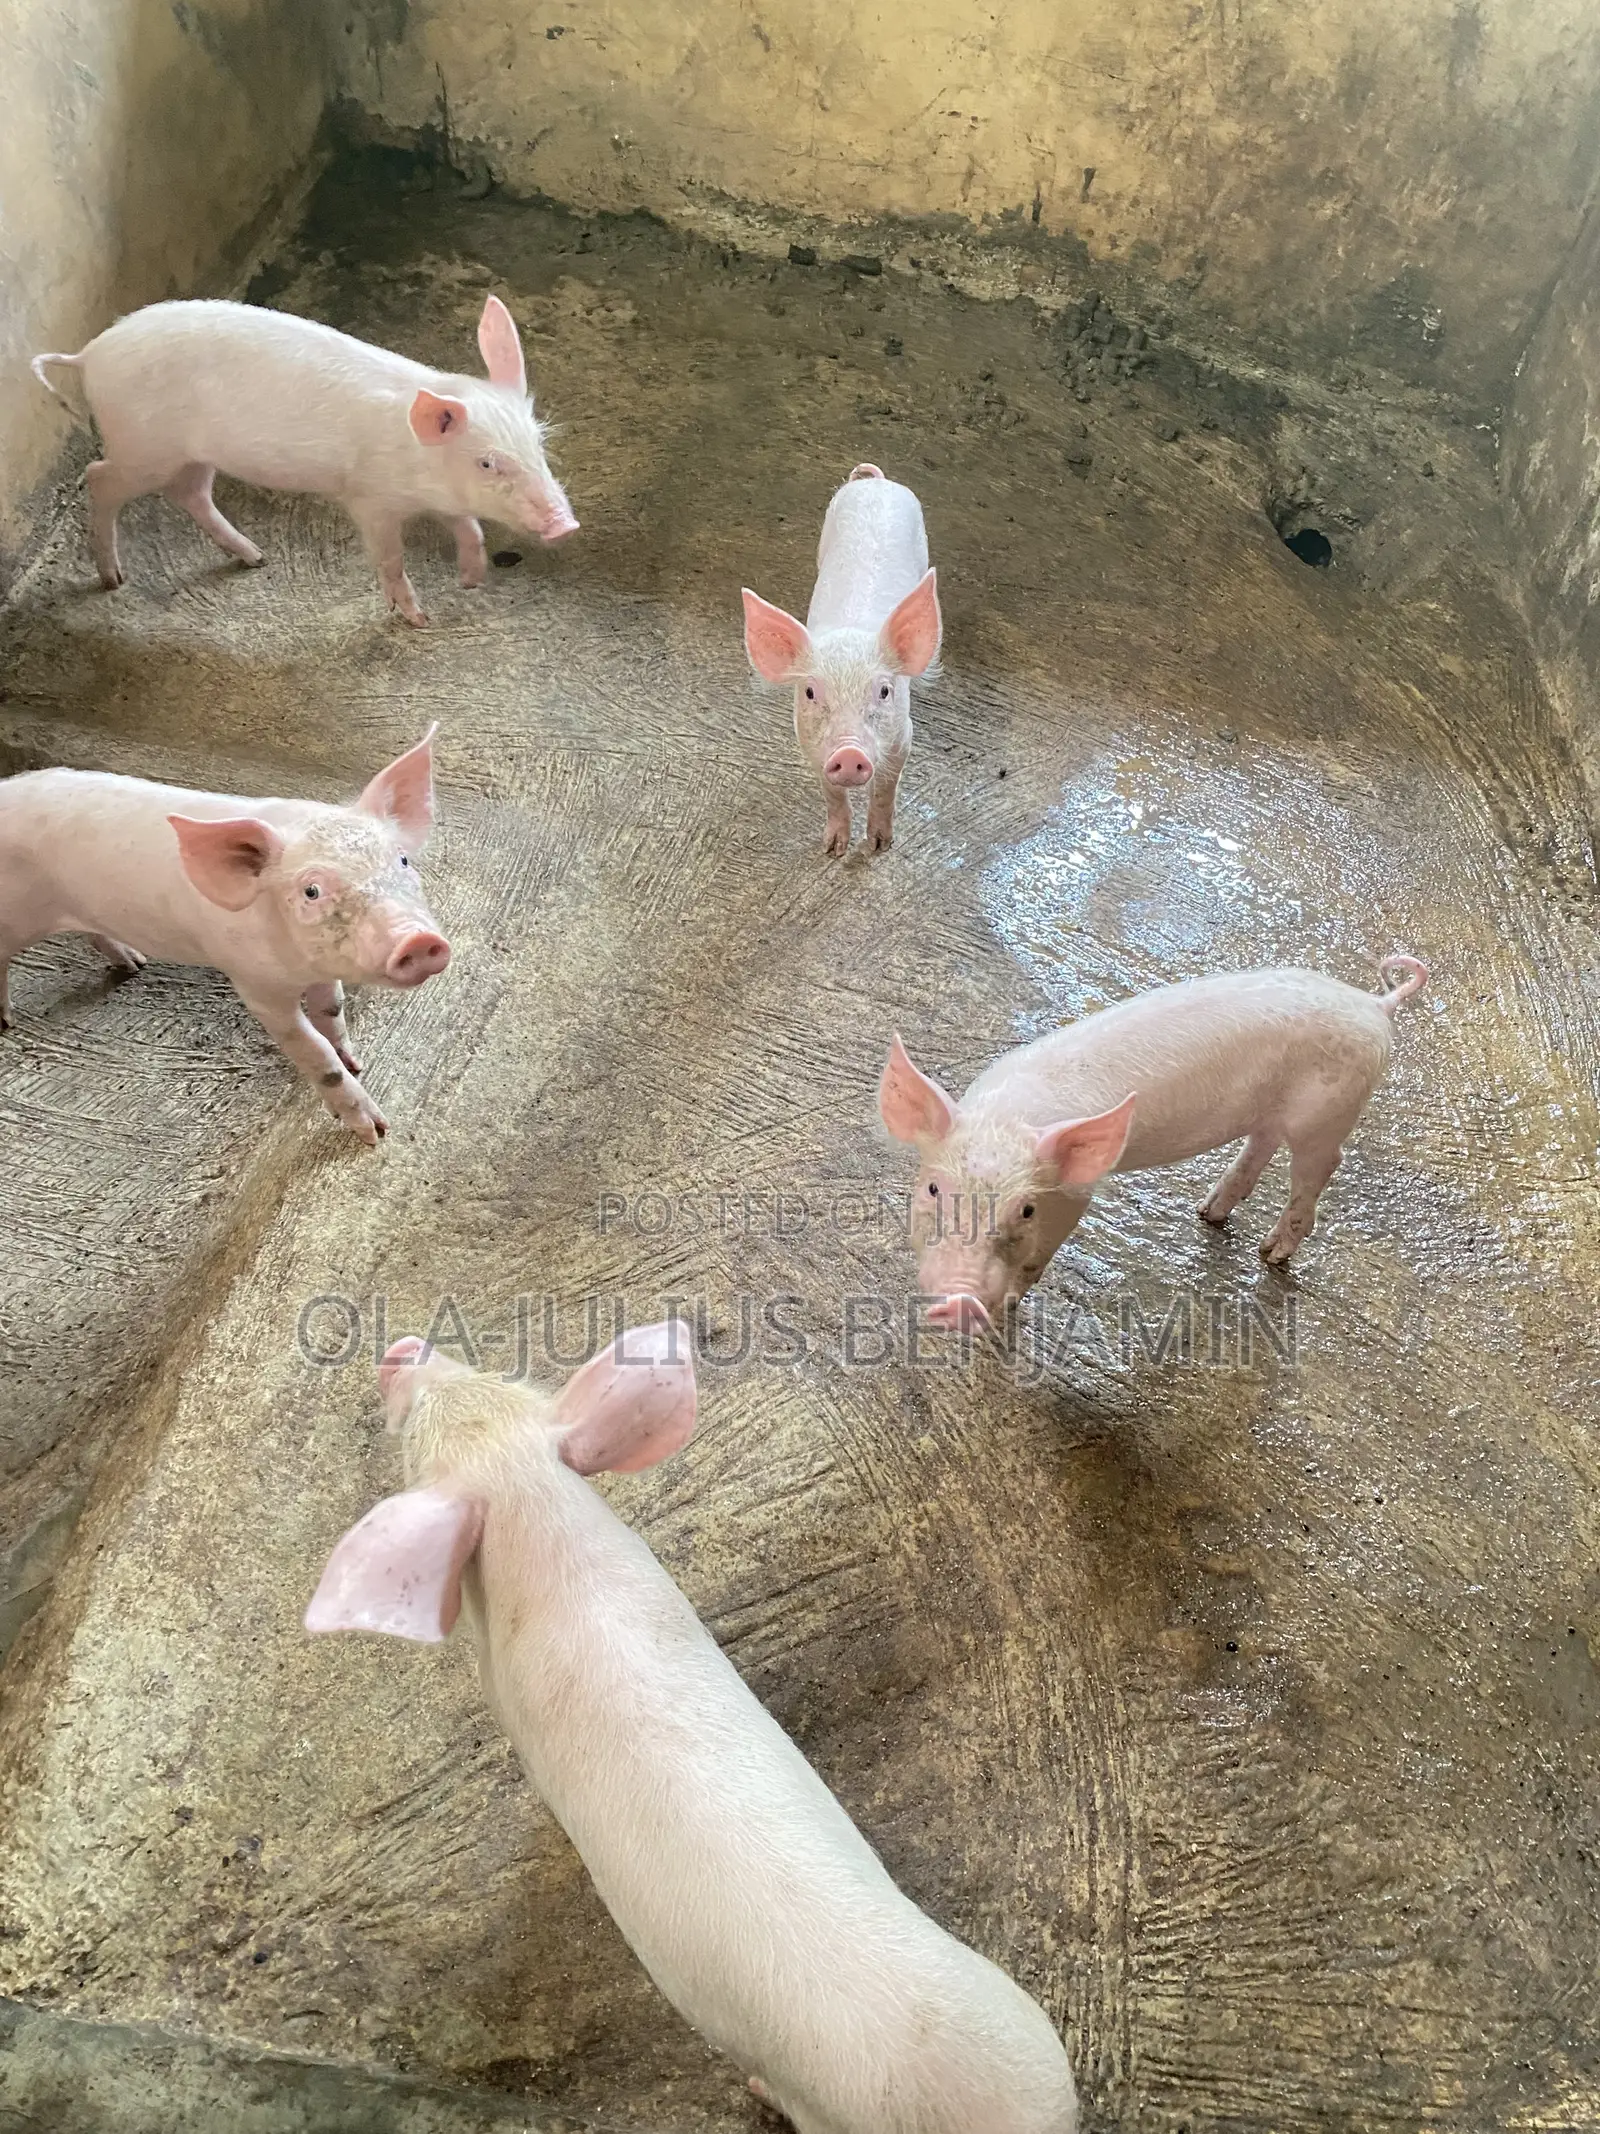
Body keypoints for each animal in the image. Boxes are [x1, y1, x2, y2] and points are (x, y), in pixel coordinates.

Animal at [0, 731, 450, 1143]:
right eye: (311, 891)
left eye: (403, 860)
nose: (418, 941)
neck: (300, 966)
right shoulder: (255, 985)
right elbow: (313, 1051)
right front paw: (375, 1132)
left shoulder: (321, 970)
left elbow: (332, 1011)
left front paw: (353, 1059)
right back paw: (7, 1021)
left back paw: (134, 963)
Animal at [31, 294, 577, 625]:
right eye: (488, 463)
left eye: (538, 442)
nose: (565, 524)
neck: (419, 466)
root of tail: (87, 355)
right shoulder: (369, 498)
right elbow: (390, 556)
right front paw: (418, 619)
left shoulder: (442, 499)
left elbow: (470, 527)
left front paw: (471, 580)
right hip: (143, 447)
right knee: (98, 477)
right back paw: (113, 580)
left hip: (191, 454)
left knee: (191, 492)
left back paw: (255, 558)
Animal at [743, 463, 941, 856]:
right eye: (809, 692)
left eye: (884, 691)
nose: (849, 753)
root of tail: (877, 483)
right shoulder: (809, 743)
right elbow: (832, 795)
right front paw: (833, 849)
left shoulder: (903, 736)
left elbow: (885, 789)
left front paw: (879, 845)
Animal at [882, 958, 1431, 1330]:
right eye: (932, 1189)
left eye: (1027, 1210)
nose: (958, 1299)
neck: (1010, 1118)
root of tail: (1376, 1004)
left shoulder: (1076, 1196)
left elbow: (1039, 1258)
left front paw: (1008, 1311)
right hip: (1276, 1112)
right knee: (1260, 1146)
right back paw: (1207, 1214)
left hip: (1327, 1116)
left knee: (1320, 1167)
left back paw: (1271, 1254)